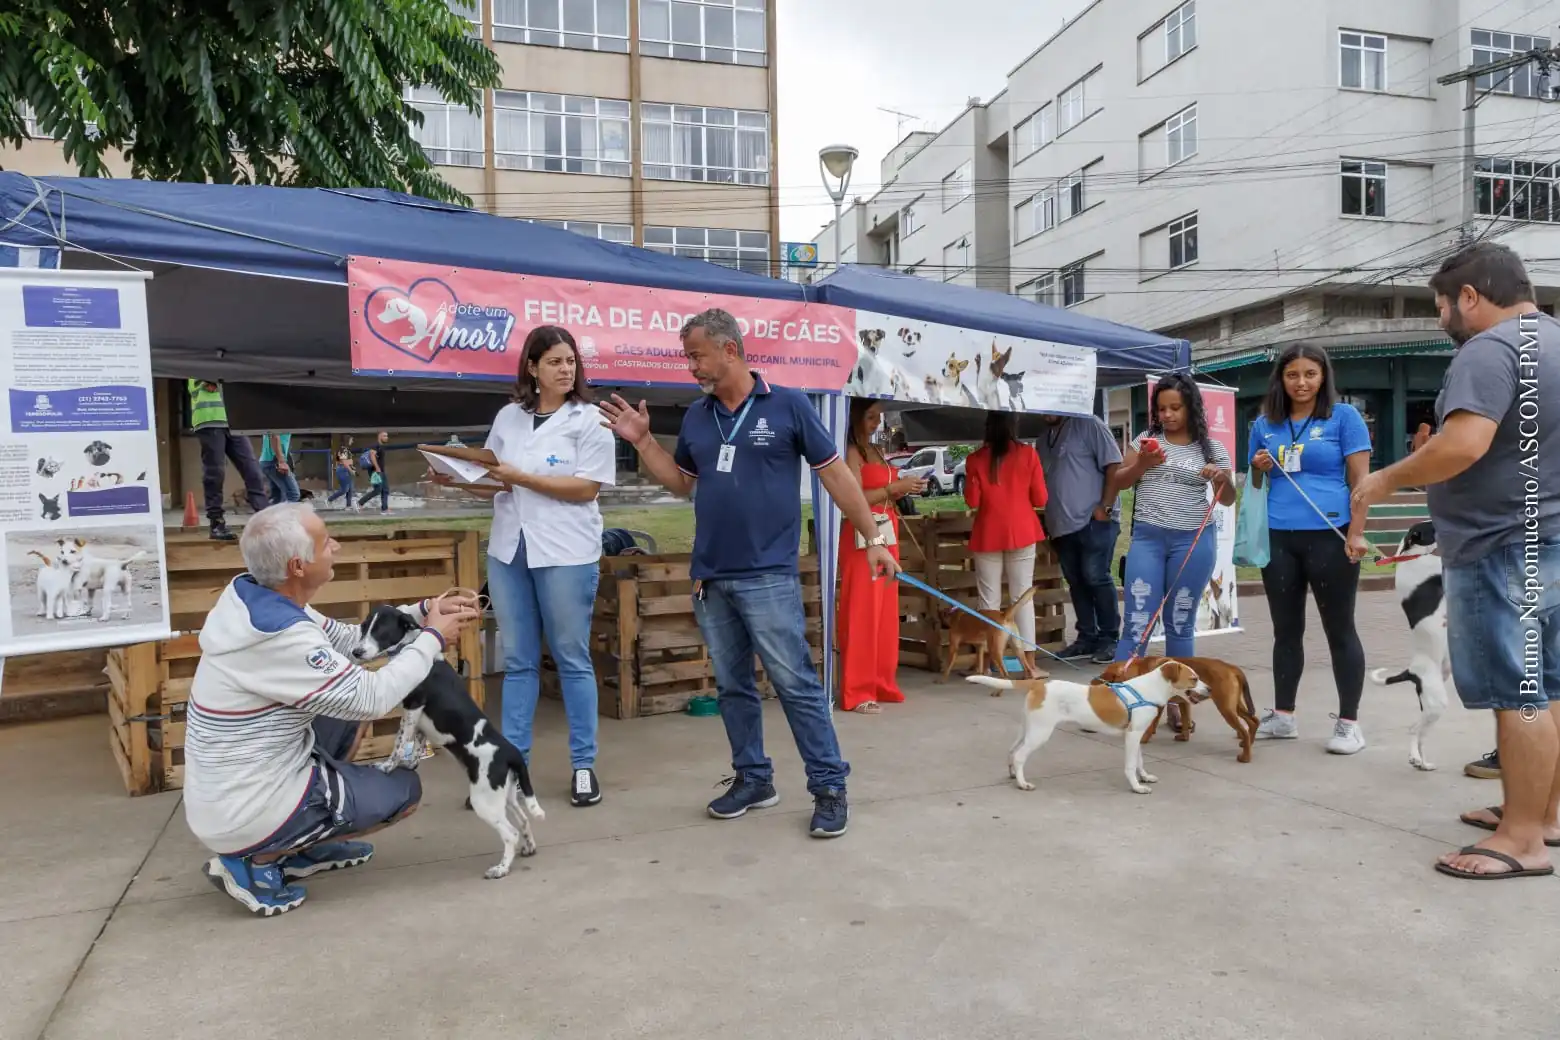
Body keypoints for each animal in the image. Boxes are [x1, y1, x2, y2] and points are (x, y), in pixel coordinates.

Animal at [351, 604, 546, 885]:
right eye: (365, 627)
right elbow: (415, 746)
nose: (356, 652)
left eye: (381, 630)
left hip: (484, 799)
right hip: (504, 794)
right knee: (522, 820)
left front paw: (387, 767)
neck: (412, 645)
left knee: (510, 833)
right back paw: (528, 847)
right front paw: (410, 764)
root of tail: (512, 752)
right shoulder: (420, 721)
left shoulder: (413, 707)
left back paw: (501, 868)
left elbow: (399, 743)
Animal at [960, 657, 1204, 798]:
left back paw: (1013, 775)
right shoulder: (1132, 736)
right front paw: (1137, 787)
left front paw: (1144, 777)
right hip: (1040, 732)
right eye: (1194, 679)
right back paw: (1023, 784)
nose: (1209, 690)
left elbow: (1139, 761)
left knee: (1012, 750)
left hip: (1028, 728)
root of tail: (1039, 684)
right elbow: (1130, 764)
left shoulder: (1135, 735)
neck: (1147, 689)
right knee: (1020, 755)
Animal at [1104, 657, 1260, 764]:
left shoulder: (1159, 705)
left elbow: (1152, 725)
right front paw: (1184, 737)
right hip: (1235, 706)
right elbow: (1185, 721)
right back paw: (1247, 744)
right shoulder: (1184, 703)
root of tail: (1232, 668)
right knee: (1254, 721)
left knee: (1244, 730)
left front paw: (1144, 739)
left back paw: (1245, 757)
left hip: (1226, 707)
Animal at [1366, 520, 1447, 773]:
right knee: (1414, 730)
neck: (1410, 556)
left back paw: (1422, 762)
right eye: (1433, 526)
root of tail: (1412, 671)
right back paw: (1415, 758)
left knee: (1418, 733)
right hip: (1437, 704)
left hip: (1429, 707)